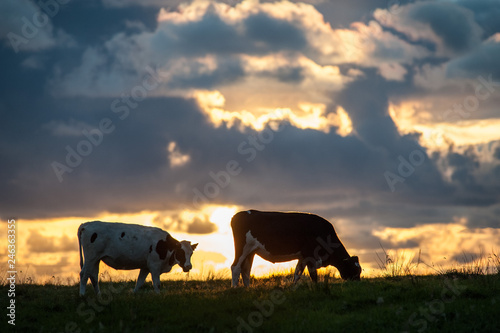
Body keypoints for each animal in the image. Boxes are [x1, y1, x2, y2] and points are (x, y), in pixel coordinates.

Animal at [229, 210, 362, 286]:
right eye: (354, 270)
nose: (358, 285)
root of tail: (238, 214)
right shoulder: (310, 255)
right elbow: (313, 274)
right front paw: (316, 288)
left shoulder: (302, 257)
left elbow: (297, 273)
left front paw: (293, 289)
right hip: (242, 248)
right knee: (235, 267)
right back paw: (235, 289)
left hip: (251, 251)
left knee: (246, 270)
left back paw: (247, 289)